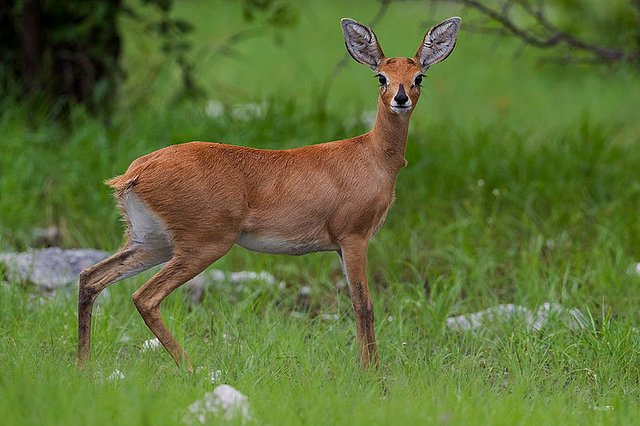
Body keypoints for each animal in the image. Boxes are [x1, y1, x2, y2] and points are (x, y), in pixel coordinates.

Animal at [79, 16, 460, 370]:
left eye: (418, 76)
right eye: (381, 76)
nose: (401, 98)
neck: (373, 154)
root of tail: (133, 173)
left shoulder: (340, 245)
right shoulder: (354, 237)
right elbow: (363, 305)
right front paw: (373, 375)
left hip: (151, 242)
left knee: (91, 277)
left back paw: (83, 367)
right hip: (203, 245)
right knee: (144, 296)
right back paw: (191, 367)